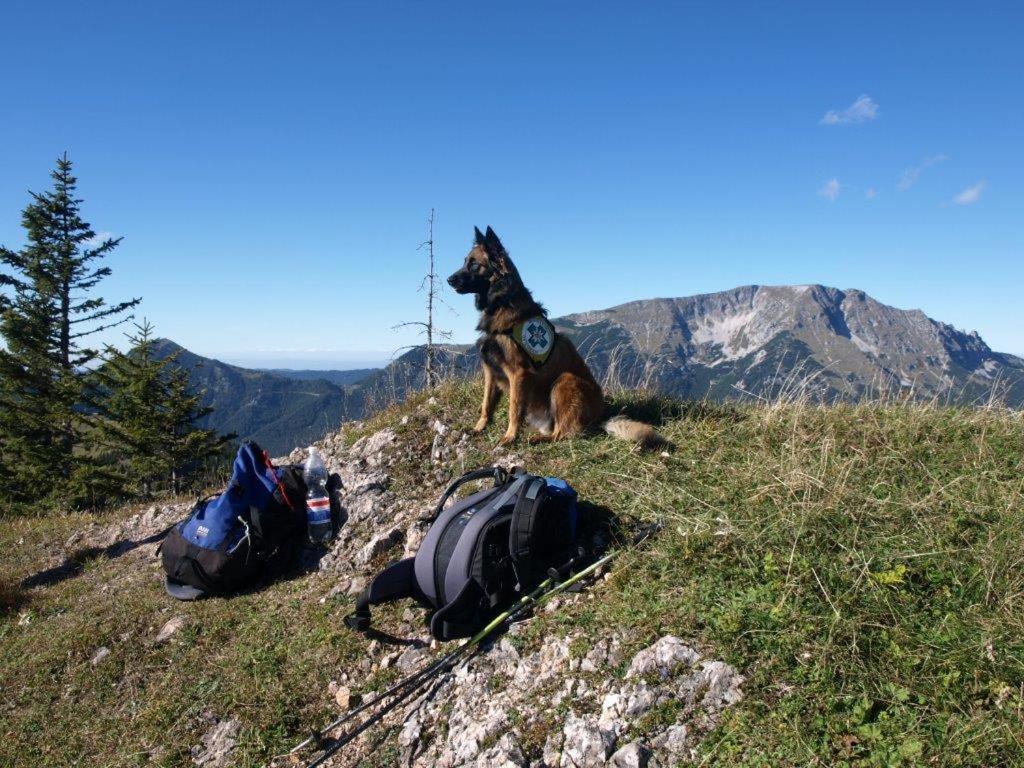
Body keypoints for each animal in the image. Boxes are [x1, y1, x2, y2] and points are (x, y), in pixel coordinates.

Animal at [448, 225, 663, 448]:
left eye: (474, 265)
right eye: (465, 262)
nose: (449, 280)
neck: (503, 302)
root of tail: (600, 416)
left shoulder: (518, 373)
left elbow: (514, 410)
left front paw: (509, 437)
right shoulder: (491, 371)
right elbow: (486, 405)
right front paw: (478, 429)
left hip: (565, 381)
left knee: (563, 433)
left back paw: (537, 439)